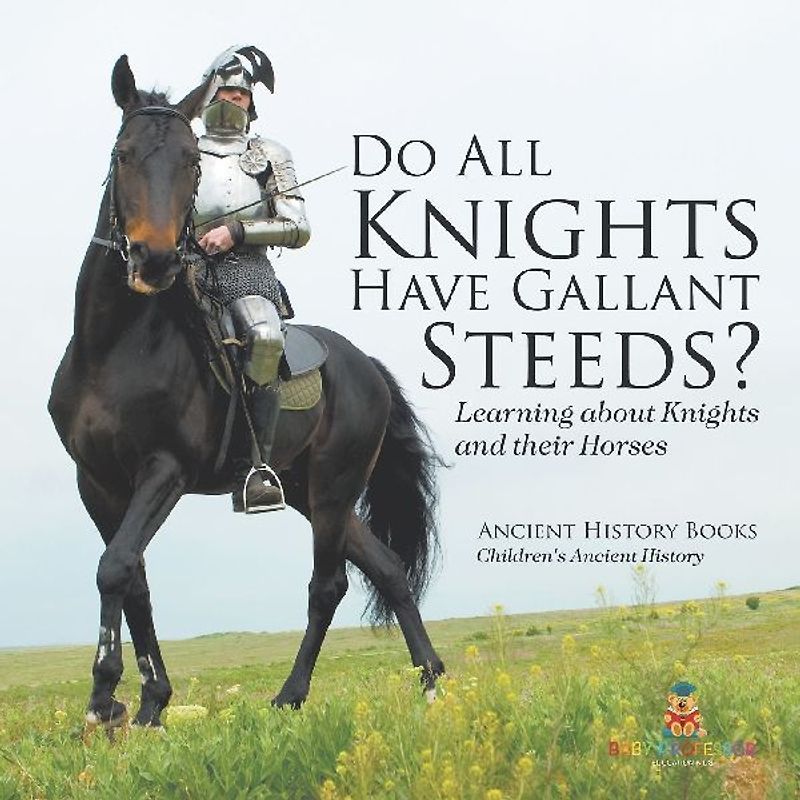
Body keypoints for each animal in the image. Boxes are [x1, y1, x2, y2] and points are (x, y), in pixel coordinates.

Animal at [48, 55, 445, 728]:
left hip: (334, 487)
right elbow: (135, 580)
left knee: (329, 585)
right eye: (124, 154)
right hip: (312, 491)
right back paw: (432, 681)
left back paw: (291, 694)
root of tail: (363, 364)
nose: (156, 259)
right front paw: (150, 703)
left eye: (191, 162)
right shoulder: (97, 481)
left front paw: (104, 700)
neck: (114, 347)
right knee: (388, 570)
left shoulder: (165, 470)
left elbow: (115, 567)